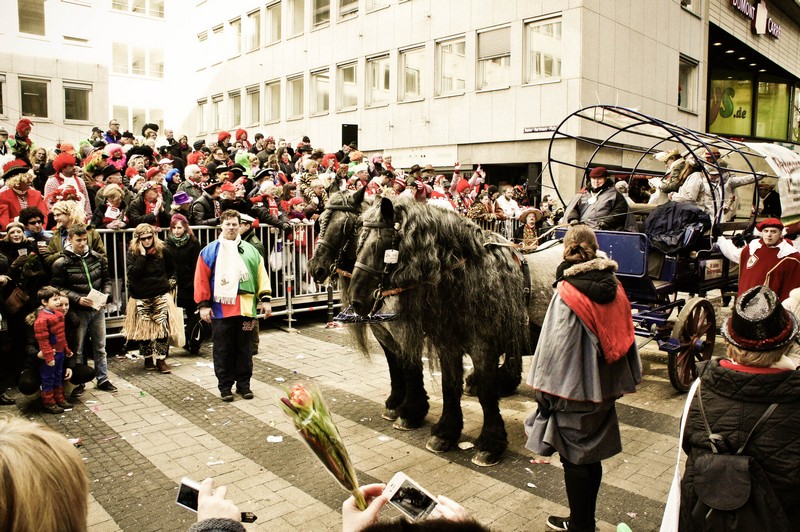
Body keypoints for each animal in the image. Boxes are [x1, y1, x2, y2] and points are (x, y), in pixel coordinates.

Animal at [308, 184, 430, 429]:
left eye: (345, 227)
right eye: (320, 222)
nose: (316, 269)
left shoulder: (406, 332)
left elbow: (411, 367)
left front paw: (412, 412)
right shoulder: (382, 331)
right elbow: (394, 364)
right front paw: (395, 403)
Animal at [348, 197, 561, 466]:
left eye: (381, 245)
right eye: (358, 240)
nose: (356, 301)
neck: (467, 277)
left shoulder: (483, 348)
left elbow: (487, 394)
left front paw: (490, 444)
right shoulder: (447, 345)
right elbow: (449, 386)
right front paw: (445, 432)